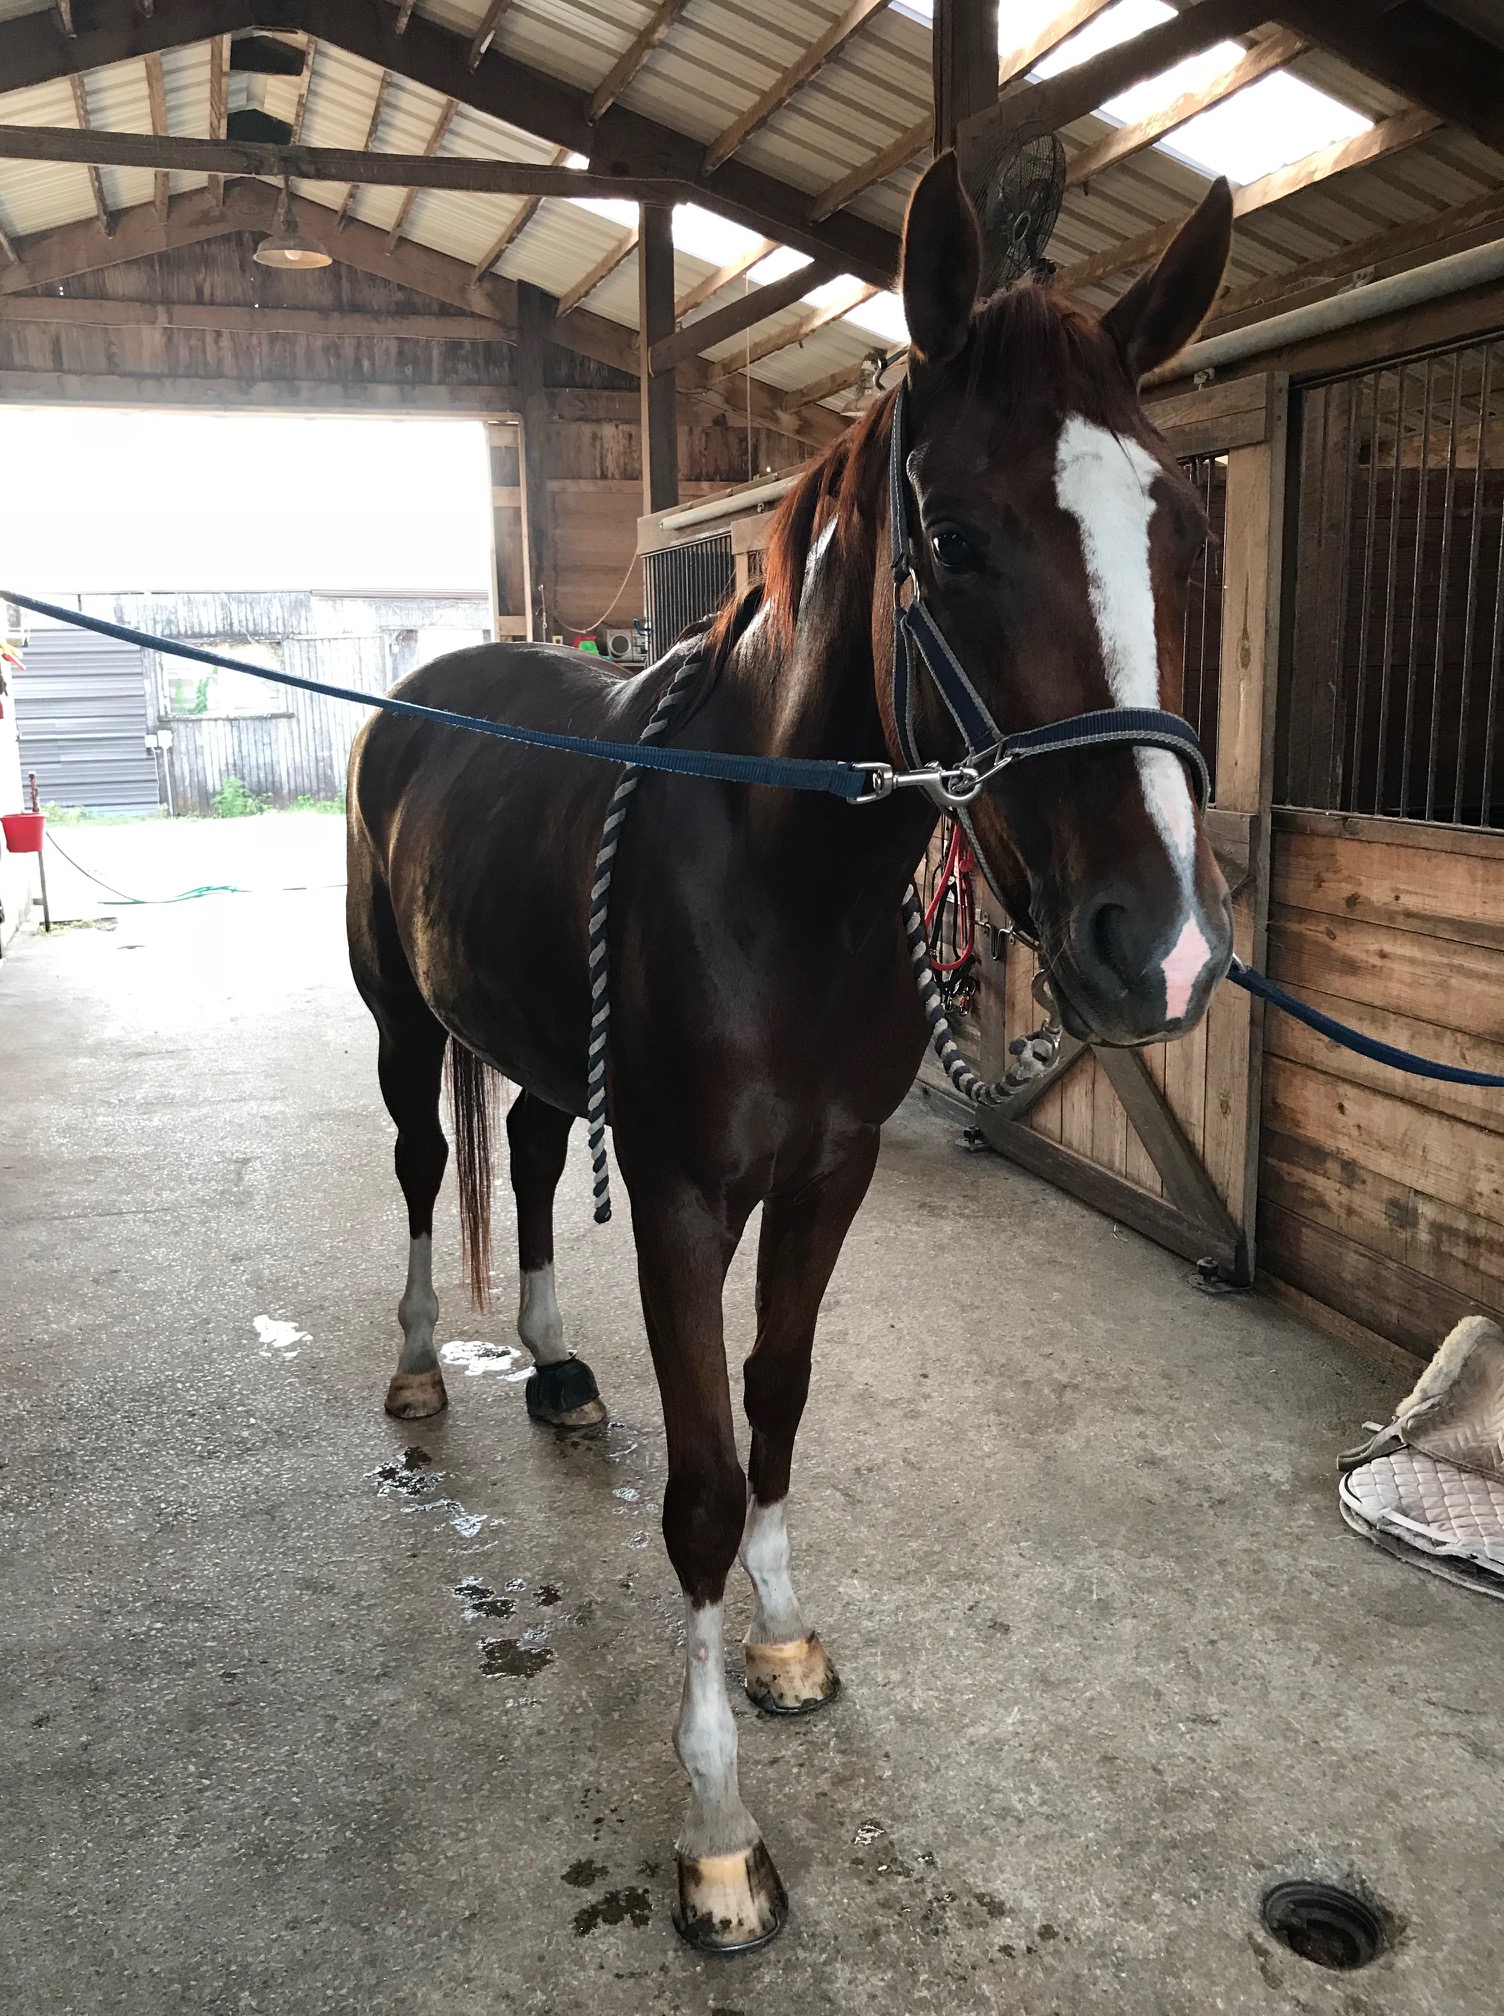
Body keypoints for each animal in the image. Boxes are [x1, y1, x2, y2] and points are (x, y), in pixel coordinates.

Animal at [345, 152, 1236, 1952]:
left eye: (1175, 527)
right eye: (953, 538)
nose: (1161, 945)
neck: (777, 874)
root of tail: (427, 684)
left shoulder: (827, 1179)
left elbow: (778, 1400)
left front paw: (782, 1640)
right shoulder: (688, 1194)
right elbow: (697, 1480)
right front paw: (716, 1834)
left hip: (546, 1052)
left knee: (524, 1161)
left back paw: (553, 1366)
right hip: (403, 1024)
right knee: (421, 1164)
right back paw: (421, 1366)